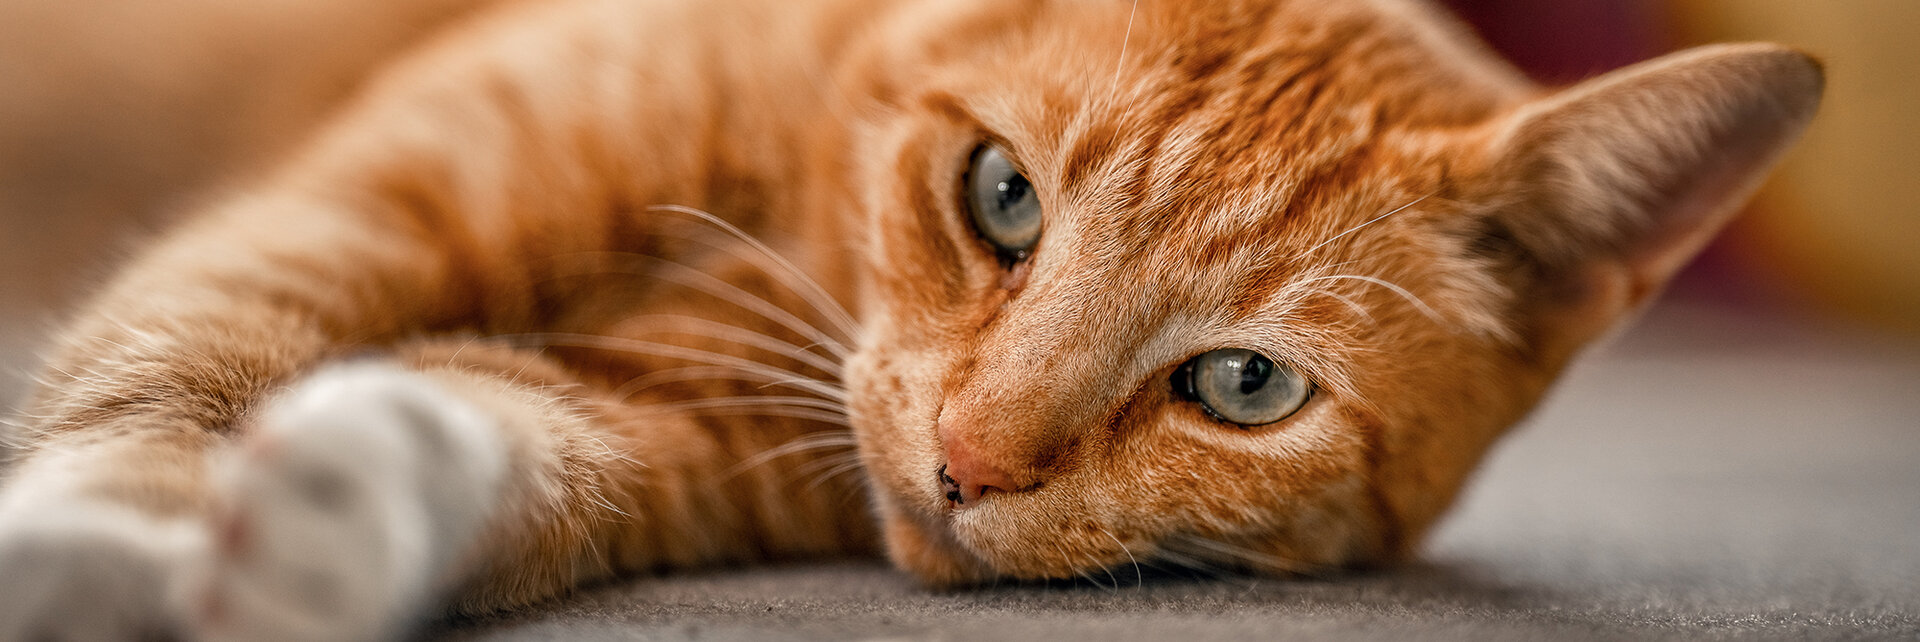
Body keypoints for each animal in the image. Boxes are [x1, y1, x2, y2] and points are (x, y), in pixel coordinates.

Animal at [0, 0, 1812, 638]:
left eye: (1242, 384)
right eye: (1002, 195)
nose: (964, 463)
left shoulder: (654, 440)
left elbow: (500, 442)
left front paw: (332, 512)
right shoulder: (346, 213)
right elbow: (172, 361)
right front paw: (109, 533)